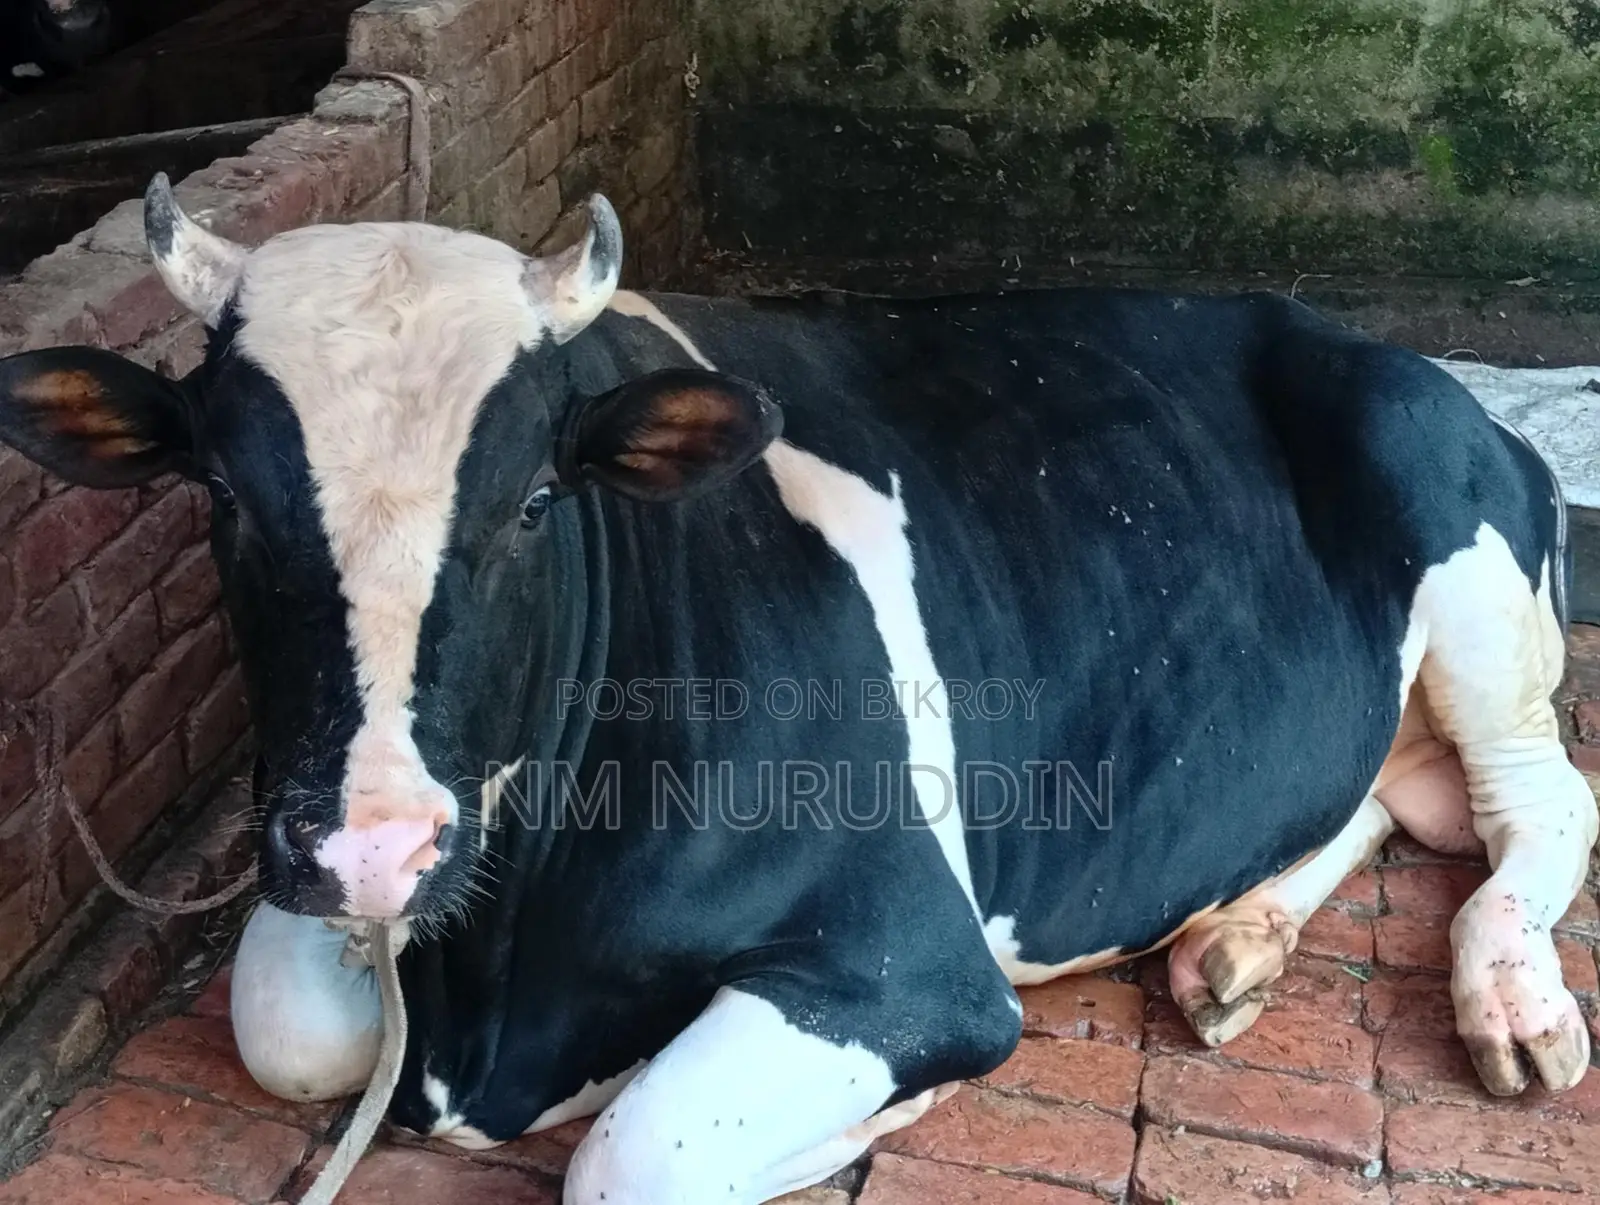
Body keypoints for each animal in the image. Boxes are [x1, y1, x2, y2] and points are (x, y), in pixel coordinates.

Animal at [1, 174, 1595, 1204]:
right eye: (221, 494)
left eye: (535, 499)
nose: (376, 850)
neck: (491, 983)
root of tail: (1364, 337)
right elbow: (292, 1028)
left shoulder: (908, 959)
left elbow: (630, 1156)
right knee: (1379, 793)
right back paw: (1234, 945)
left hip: (1463, 553)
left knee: (1534, 800)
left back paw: (1511, 998)